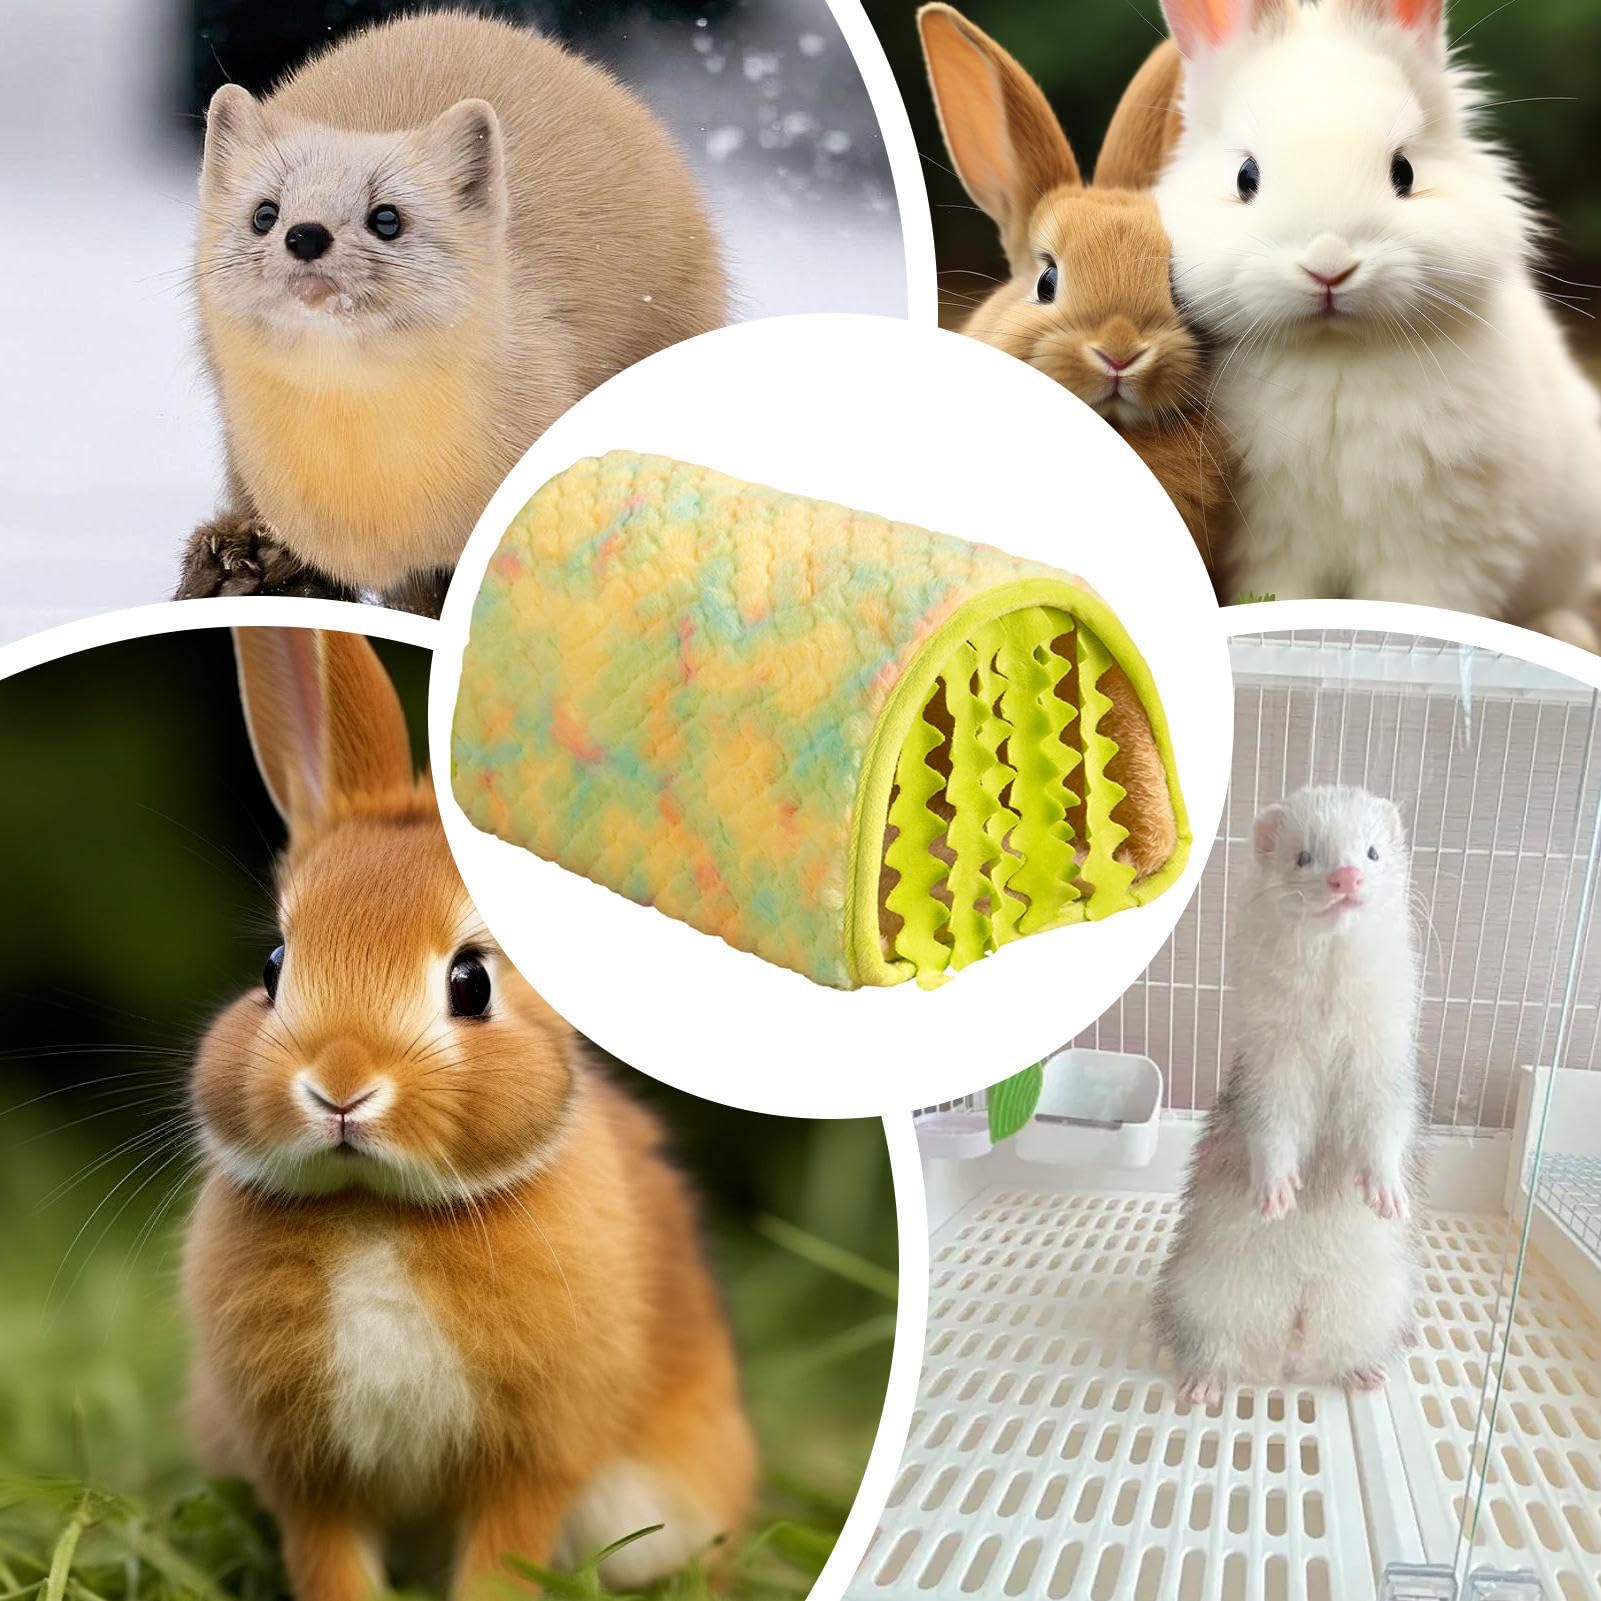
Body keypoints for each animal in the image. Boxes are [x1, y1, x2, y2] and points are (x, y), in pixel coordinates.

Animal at [183, 628, 756, 1601]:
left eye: (471, 982)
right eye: (273, 967)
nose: (340, 1084)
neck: (375, 1210)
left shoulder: (531, 1461)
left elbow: (502, 1556)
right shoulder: (308, 1475)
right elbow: (330, 1561)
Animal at [1154, 0, 1601, 646]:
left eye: (1405, 171)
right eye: (1245, 177)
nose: (1329, 265)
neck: (1335, 352)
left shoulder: (1440, 547)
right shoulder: (1271, 543)